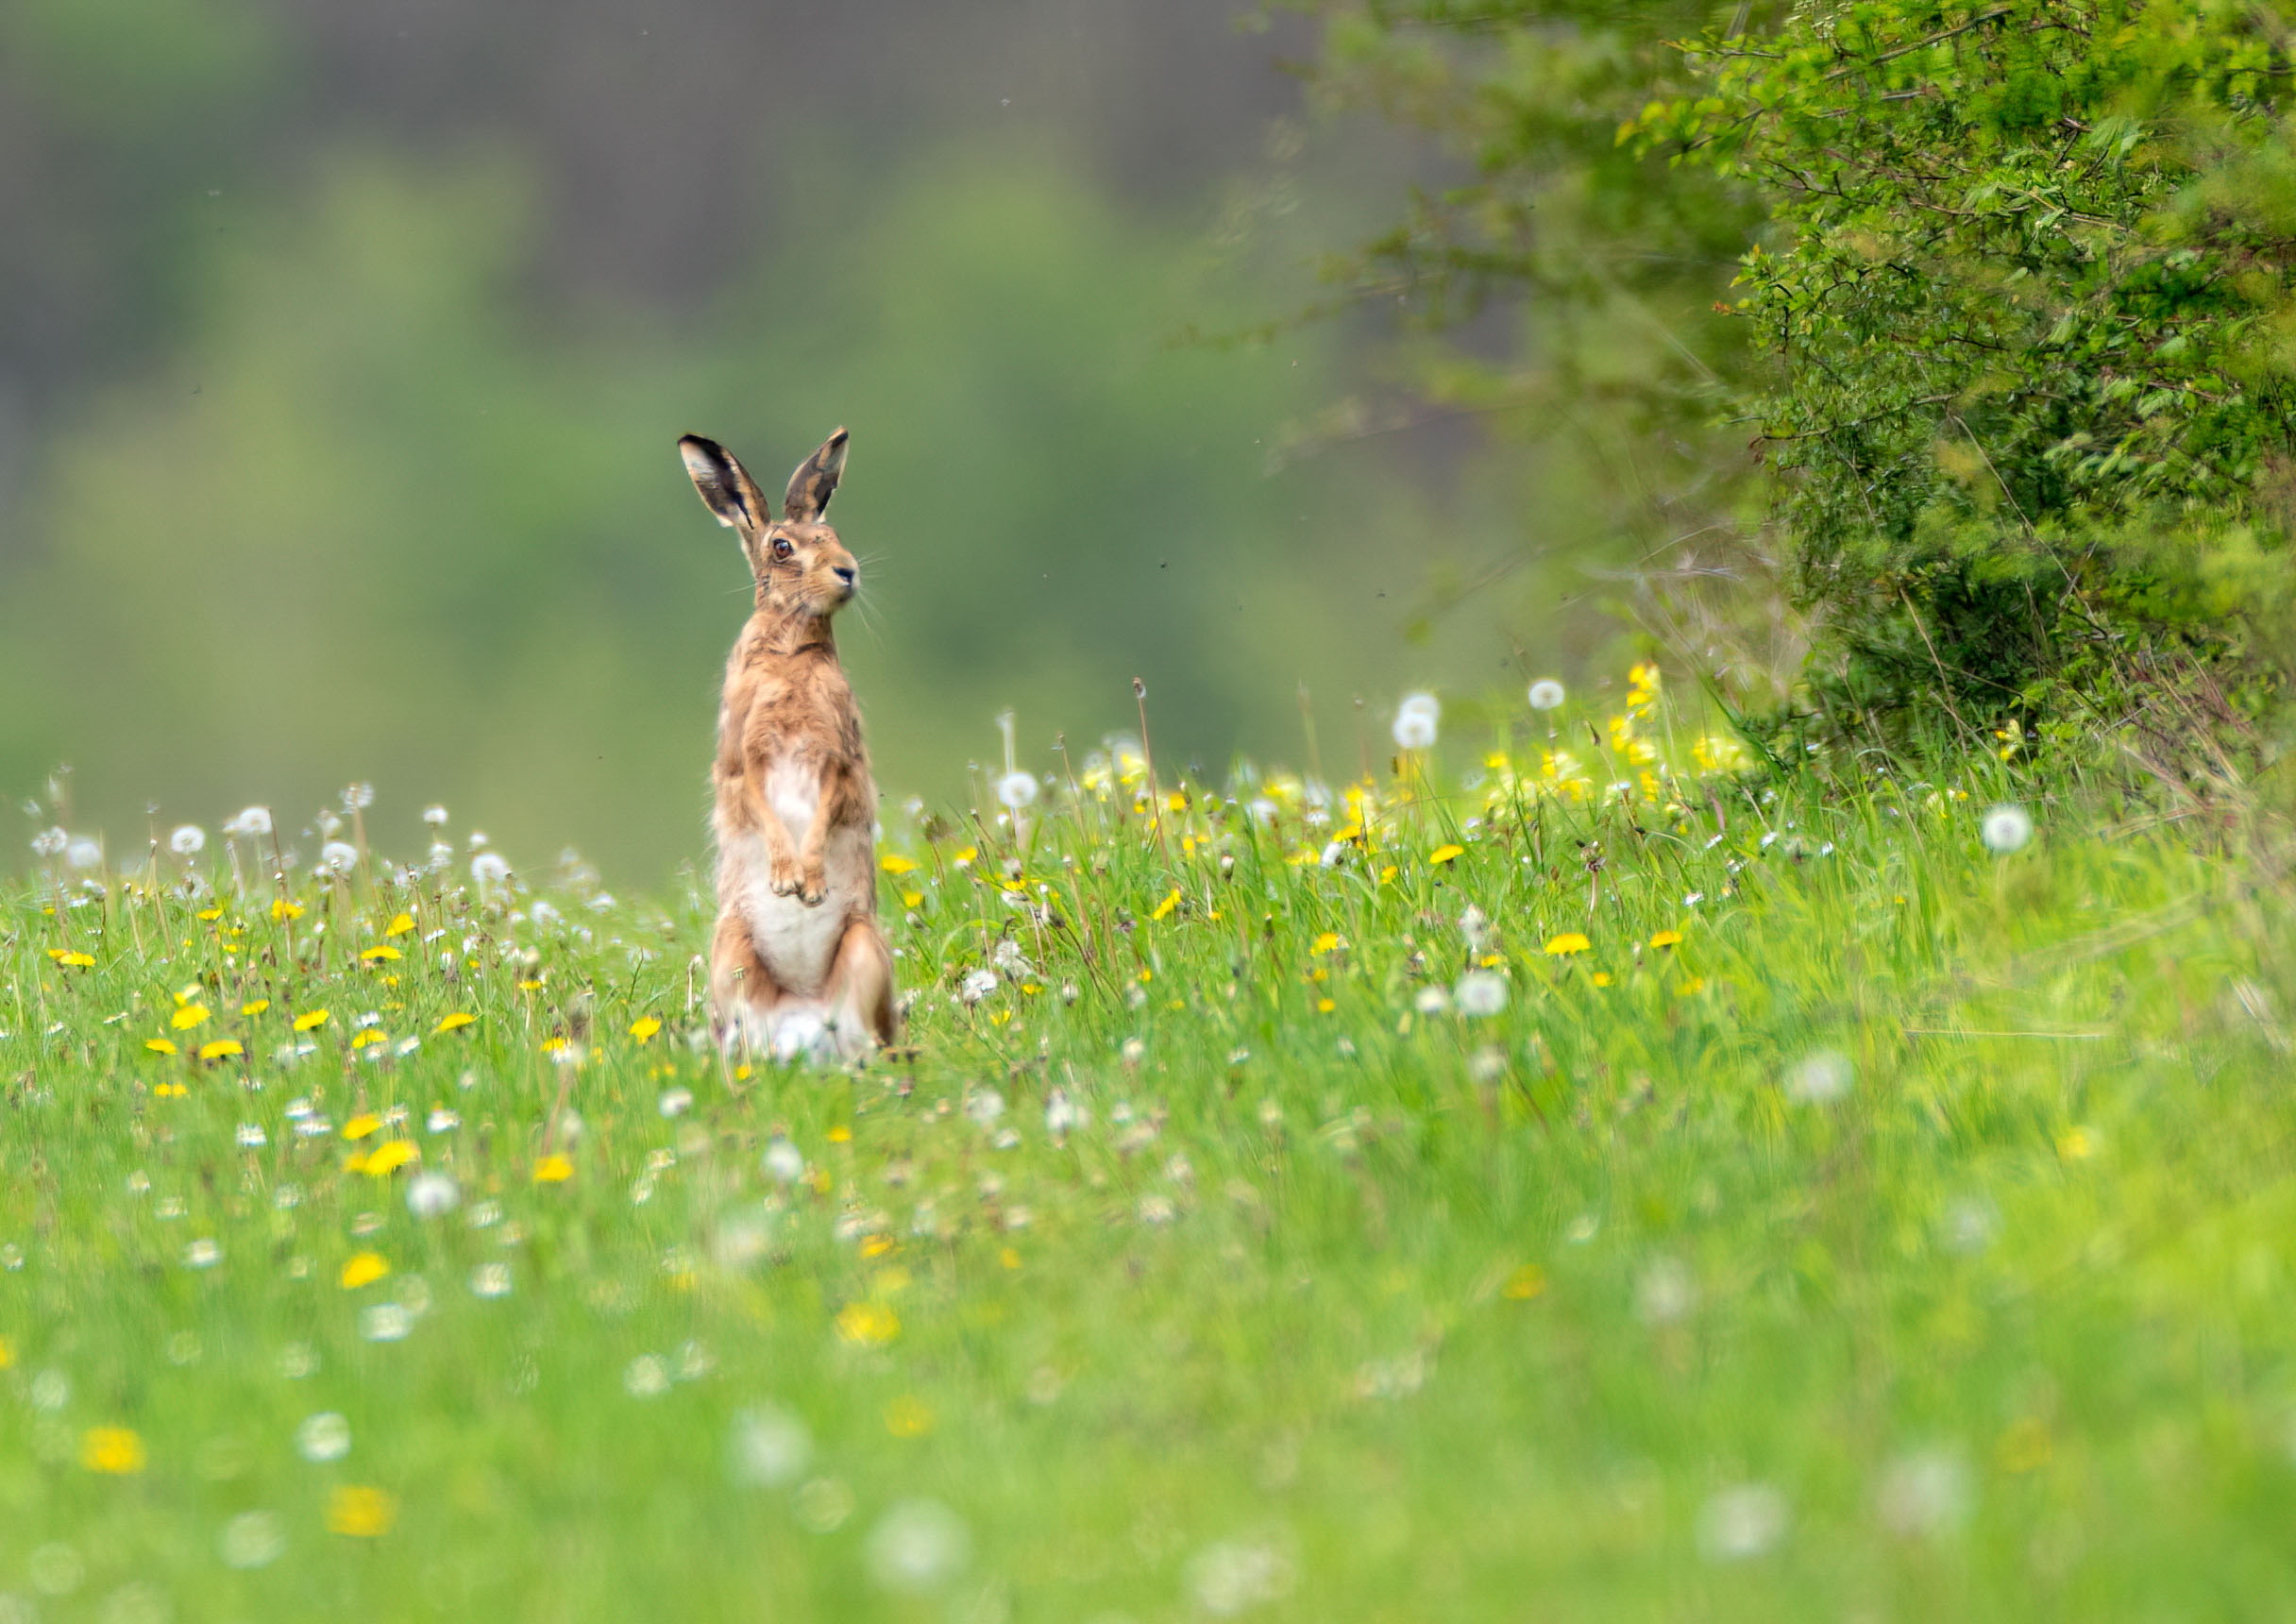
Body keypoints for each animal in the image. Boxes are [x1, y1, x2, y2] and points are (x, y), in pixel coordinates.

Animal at [678, 427, 897, 1062]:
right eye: (782, 548)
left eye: (835, 536)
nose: (848, 572)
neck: (791, 652)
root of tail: (803, 1022)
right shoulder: (742, 759)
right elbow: (758, 803)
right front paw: (784, 880)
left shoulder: (839, 759)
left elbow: (826, 810)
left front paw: (811, 884)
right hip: (733, 955)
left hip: (864, 950)